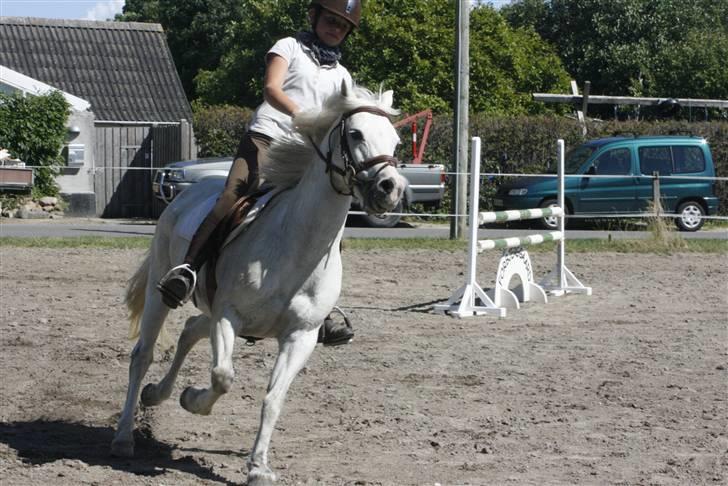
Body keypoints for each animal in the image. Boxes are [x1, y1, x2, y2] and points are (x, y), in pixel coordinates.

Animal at [111, 81, 406, 484]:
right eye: (357, 133)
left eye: (395, 141)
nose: (390, 188)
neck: (297, 246)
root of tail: (186, 195)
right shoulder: (228, 317)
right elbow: (223, 376)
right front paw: (193, 400)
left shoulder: (301, 336)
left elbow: (273, 398)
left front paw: (258, 466)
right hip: (163, 287)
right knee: (143, 355)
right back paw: (126, 435)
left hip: (210, 309)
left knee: (190, 330)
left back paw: (157, 394)